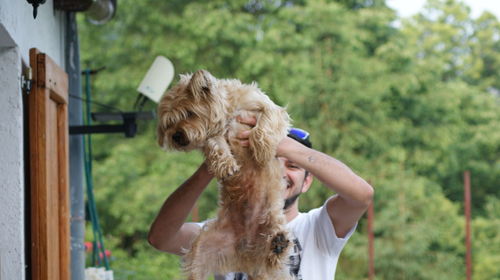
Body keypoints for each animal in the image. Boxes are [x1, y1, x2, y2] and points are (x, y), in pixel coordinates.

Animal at [157, 69, 292, 278]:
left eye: (189, 113)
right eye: (168, 124)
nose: (176, 136)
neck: (229, 113)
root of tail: (247, 256)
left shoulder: (267, 107)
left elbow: (265, 122)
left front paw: (262, 148)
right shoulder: (213, 137)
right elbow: (216, 145)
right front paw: (227, 165)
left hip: (271, 222)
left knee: (274, 251)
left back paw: (278, 244)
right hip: (202, 247)